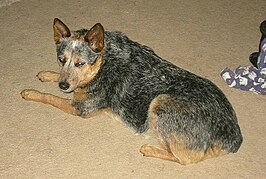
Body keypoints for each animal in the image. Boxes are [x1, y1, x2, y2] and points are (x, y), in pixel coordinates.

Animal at [20, 18, 242, 165]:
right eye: (61, 59)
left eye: (80, 63)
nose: (63, 86)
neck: (104, 61)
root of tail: (231, 135)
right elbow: (58, 78)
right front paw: (47, 74)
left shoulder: (80, 108)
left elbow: (49, 97)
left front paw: (31, 92)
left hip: (160, 101)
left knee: (185, 158)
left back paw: (150, 148)